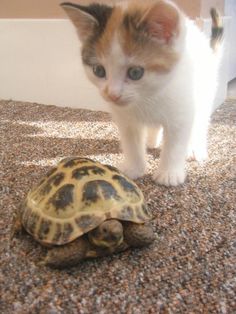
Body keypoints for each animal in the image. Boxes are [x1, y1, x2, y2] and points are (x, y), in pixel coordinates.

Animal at [60, 0, 223, 185]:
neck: (148, 98)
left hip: (204, 92)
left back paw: (196, 149)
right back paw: (152, 141)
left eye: (135, 73)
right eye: (99, 70)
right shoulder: (125, 119)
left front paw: (169, 174)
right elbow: (131, 143)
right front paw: (133, 168)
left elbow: (175, 144)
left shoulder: (181, 110)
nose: (112, 95)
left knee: (201, 121)